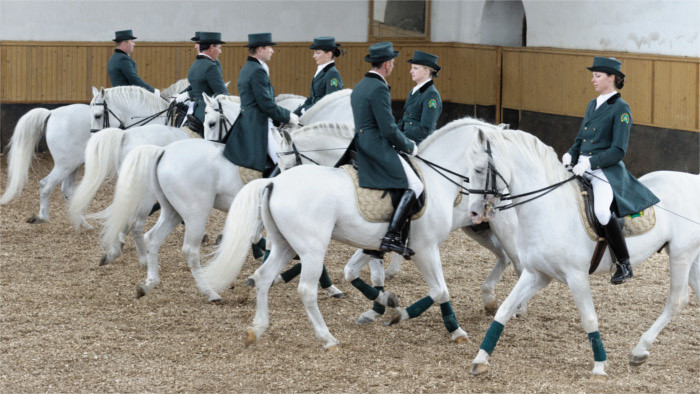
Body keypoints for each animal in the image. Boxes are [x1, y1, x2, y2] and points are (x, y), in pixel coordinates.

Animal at [200, 121, 506, 350]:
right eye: (483, 168)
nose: (485, 203)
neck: (435, 179)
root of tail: (274, 183)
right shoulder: (426, 248)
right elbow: (440, 289)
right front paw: (453, 330)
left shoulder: (379, 244)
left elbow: (363, 274)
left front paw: (385, 304)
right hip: (311, 248)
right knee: (305, 290)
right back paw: (327, 338)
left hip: (285, 245)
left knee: (264, 277)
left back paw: (257, 328)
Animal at [464, 127, 700, 378]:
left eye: (479, 169)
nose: (474, 214)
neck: (549, 208)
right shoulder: (536, 274)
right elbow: (504, 310)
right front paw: (480, 358)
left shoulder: (576, 276)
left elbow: (589, 319)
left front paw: (599, 366)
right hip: (691, 256)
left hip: (681, 254)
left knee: (676, 300)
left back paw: (639, 349)